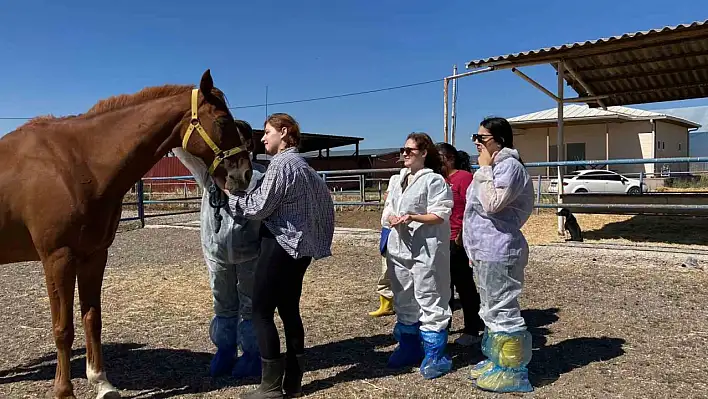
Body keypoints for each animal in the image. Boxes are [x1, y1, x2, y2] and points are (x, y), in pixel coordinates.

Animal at [0, 70, 253, 398]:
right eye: (222, 121)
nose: (244, 174)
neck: (77, 163)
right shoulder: (58, 259)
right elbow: (63, 328)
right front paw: (64, 390)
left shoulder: (94, 255)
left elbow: (92, 318)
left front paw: (101, 382)